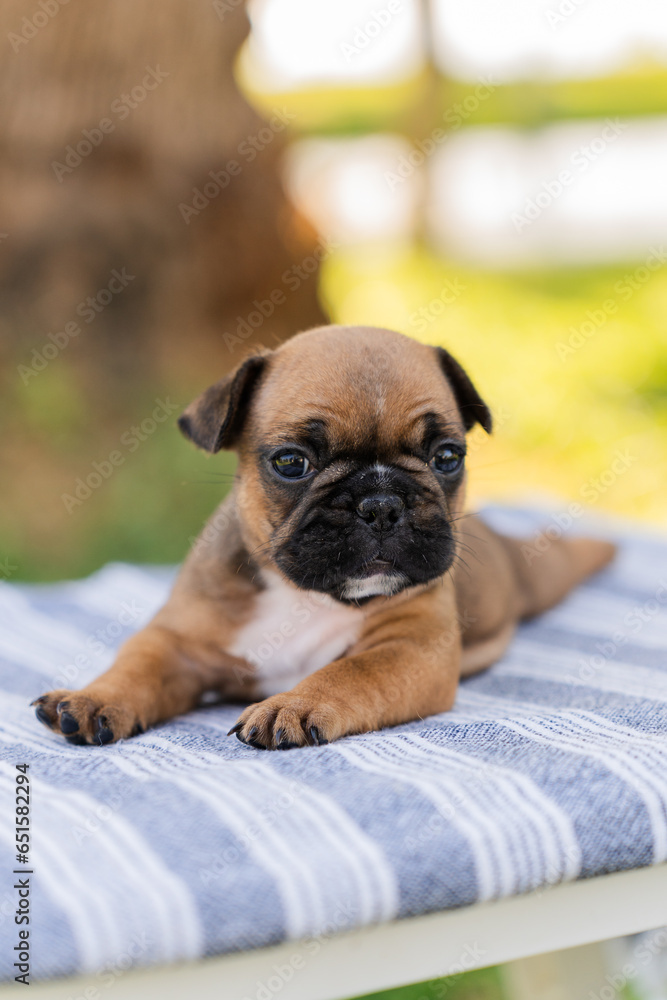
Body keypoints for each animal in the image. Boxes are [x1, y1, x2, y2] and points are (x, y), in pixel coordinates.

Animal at [32, 328, 616, 752]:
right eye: (292, 463)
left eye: (447, 457)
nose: (381, 504)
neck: (300, 592)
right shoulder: (179, 642)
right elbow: (138, 663)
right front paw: (93, 697)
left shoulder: (411, 647)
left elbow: (351, 671)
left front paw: (294, 705)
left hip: (541, 575)